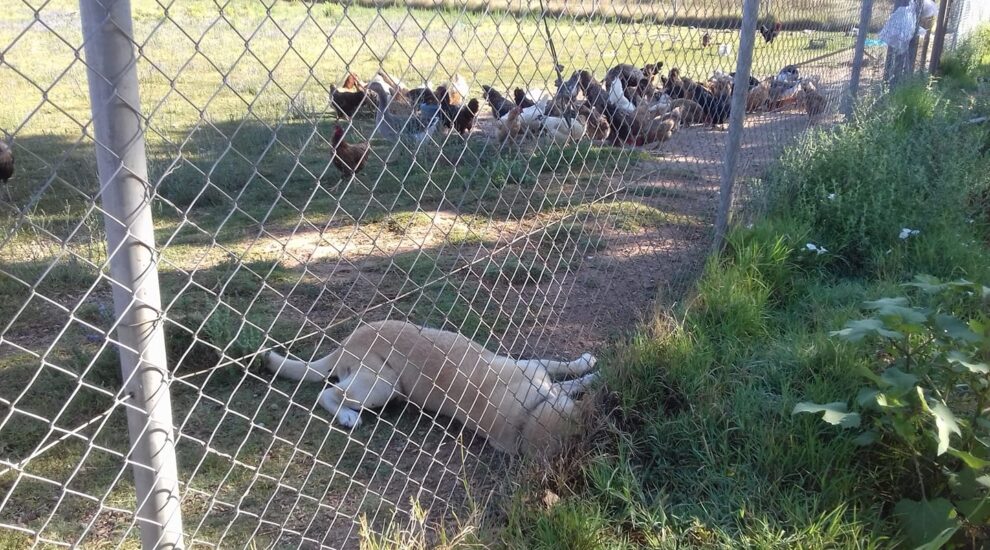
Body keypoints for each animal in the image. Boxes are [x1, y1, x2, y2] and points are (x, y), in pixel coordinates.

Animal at [264, 322, 600, 454]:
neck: (527, 416)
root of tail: (343, 344)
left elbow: (565, 376)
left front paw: (587, 371)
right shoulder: (533, 368)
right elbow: (566, 374)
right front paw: (589, 368)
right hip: (381, 385)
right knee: (326, 393)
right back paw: (347, 417)